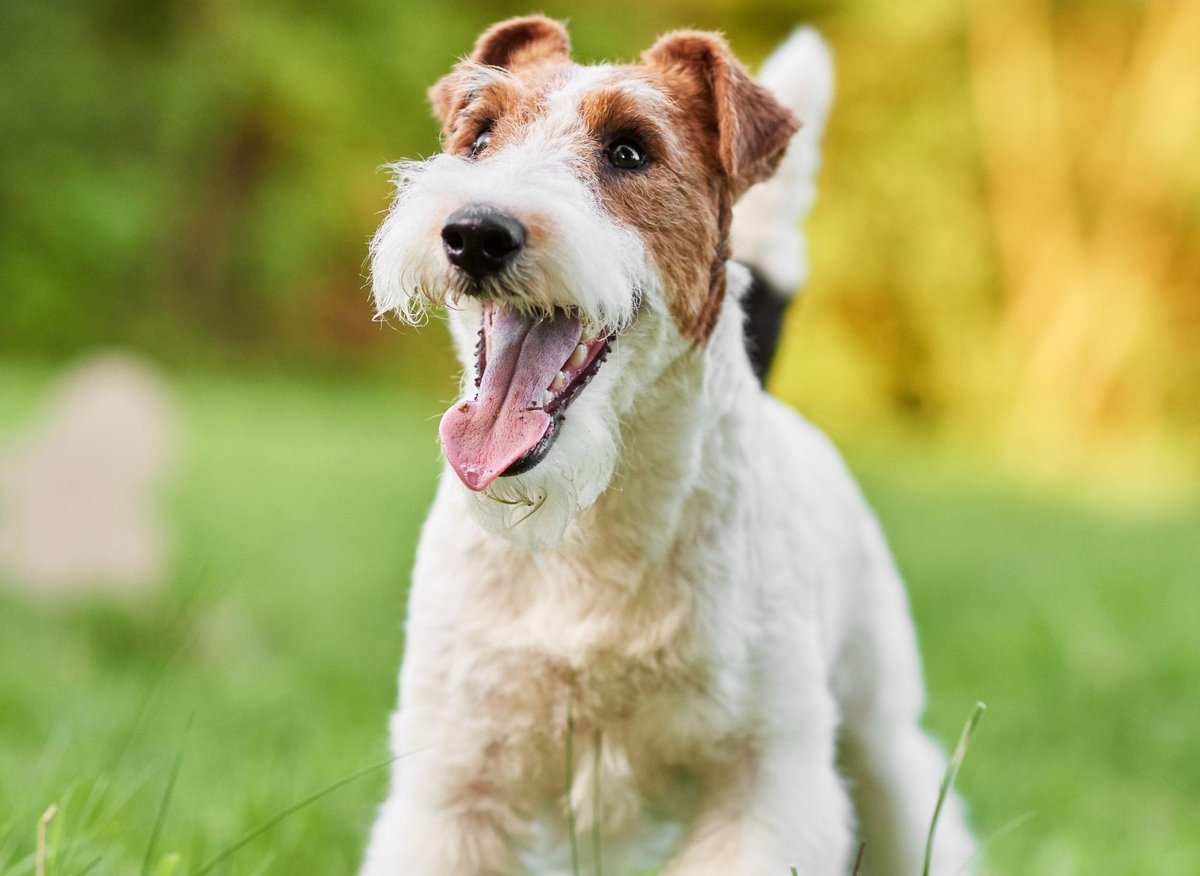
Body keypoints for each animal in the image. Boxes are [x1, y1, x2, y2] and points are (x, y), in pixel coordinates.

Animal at [362, 15, 974, 873]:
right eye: (478, 136)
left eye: (629, 150)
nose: (476, 232)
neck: (591, 527)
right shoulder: (455, 783)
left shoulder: (764, 780)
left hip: (877, 727)